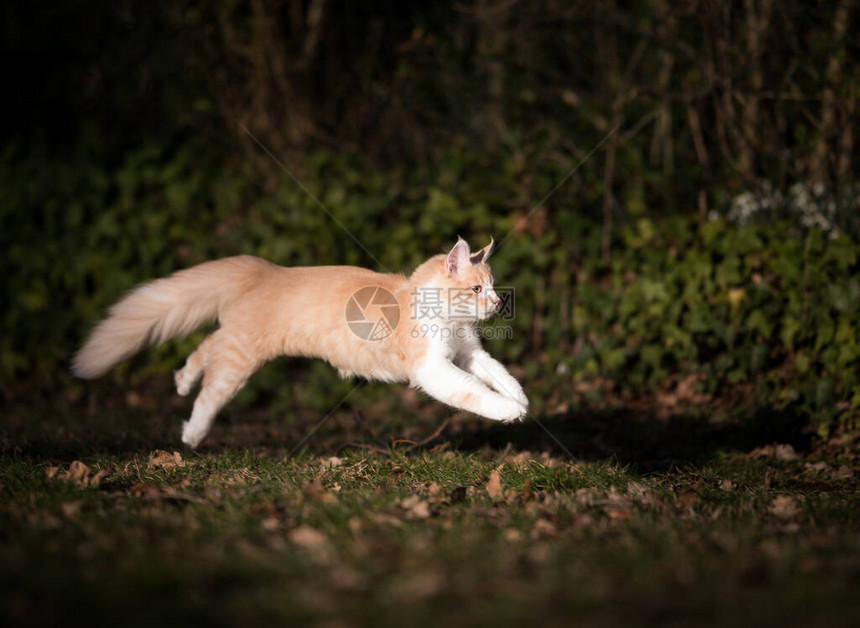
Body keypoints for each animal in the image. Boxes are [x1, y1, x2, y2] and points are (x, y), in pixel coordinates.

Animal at [72, 236, 532, 446]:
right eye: (477, 289)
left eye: (493, 287)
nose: (496, 302)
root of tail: (266, 269)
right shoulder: (434, 368)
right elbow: (477, 394)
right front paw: (509, 411)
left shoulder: (468, 353)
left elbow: (501, 375)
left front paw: (521, 401)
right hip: (240, 360)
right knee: (208, 395)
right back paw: (192, 434)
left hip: (234, 343)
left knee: (203, 350)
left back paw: (182, 381)